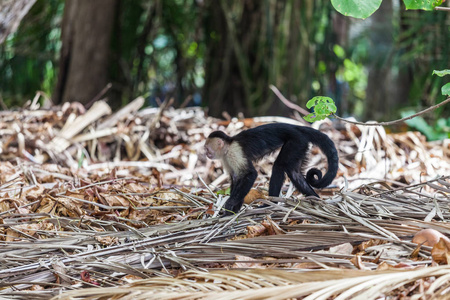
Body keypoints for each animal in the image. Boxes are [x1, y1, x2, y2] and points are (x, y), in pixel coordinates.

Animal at [204, 123, 338, 214]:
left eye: (206, 148)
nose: (206, 153)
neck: (227, 146)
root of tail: (296, 127)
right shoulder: (226, 158)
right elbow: (236, 178)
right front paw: (233, 211)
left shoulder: (234, 152)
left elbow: (250, 174)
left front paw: (231, 203)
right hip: (301, 145)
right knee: (295, 173)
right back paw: (316, 200)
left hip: (296, 141)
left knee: (279, 165)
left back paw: (271, 204)